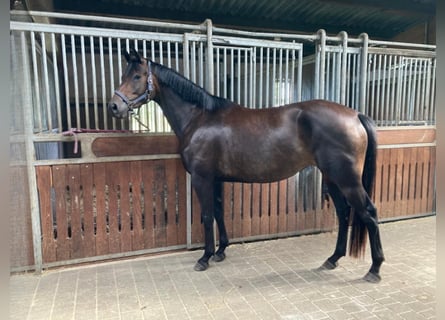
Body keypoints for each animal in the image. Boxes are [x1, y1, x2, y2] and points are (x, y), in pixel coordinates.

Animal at [106, 48, 382, 282]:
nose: (114, 106)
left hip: (347, 179)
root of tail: (355, 115)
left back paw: (374, 269)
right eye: (124, 75)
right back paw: (332, 259)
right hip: (332, 178)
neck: (200, 118)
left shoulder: (202, 178)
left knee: (369, 213)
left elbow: (207, 215)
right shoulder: (216, 179)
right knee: (344, 213)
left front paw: (204, 258)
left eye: (138, 76)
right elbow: (219, 212)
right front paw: (220, 251)